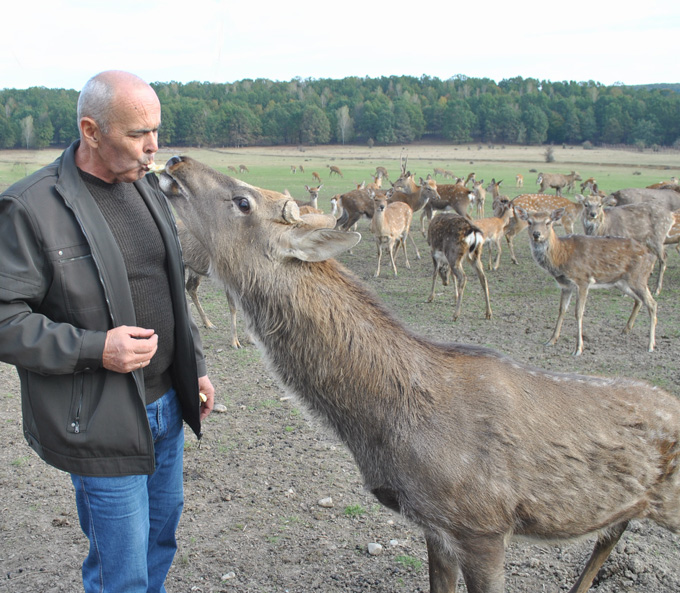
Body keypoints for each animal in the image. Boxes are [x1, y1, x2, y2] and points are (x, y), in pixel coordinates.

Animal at [516, 206, 660, 354]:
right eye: (529, 222)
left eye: (548, 222)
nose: (536, 234)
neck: (561, 256)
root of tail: (652, 256)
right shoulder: (565, 285)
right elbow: (561, 310)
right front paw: (551, 340)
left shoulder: (583, 280)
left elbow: (578, 313)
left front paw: (578, 348)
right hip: (622, 282)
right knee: (639, 300)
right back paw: (626, 330)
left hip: (639, 277)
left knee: (652, 303)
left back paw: (651, 345)